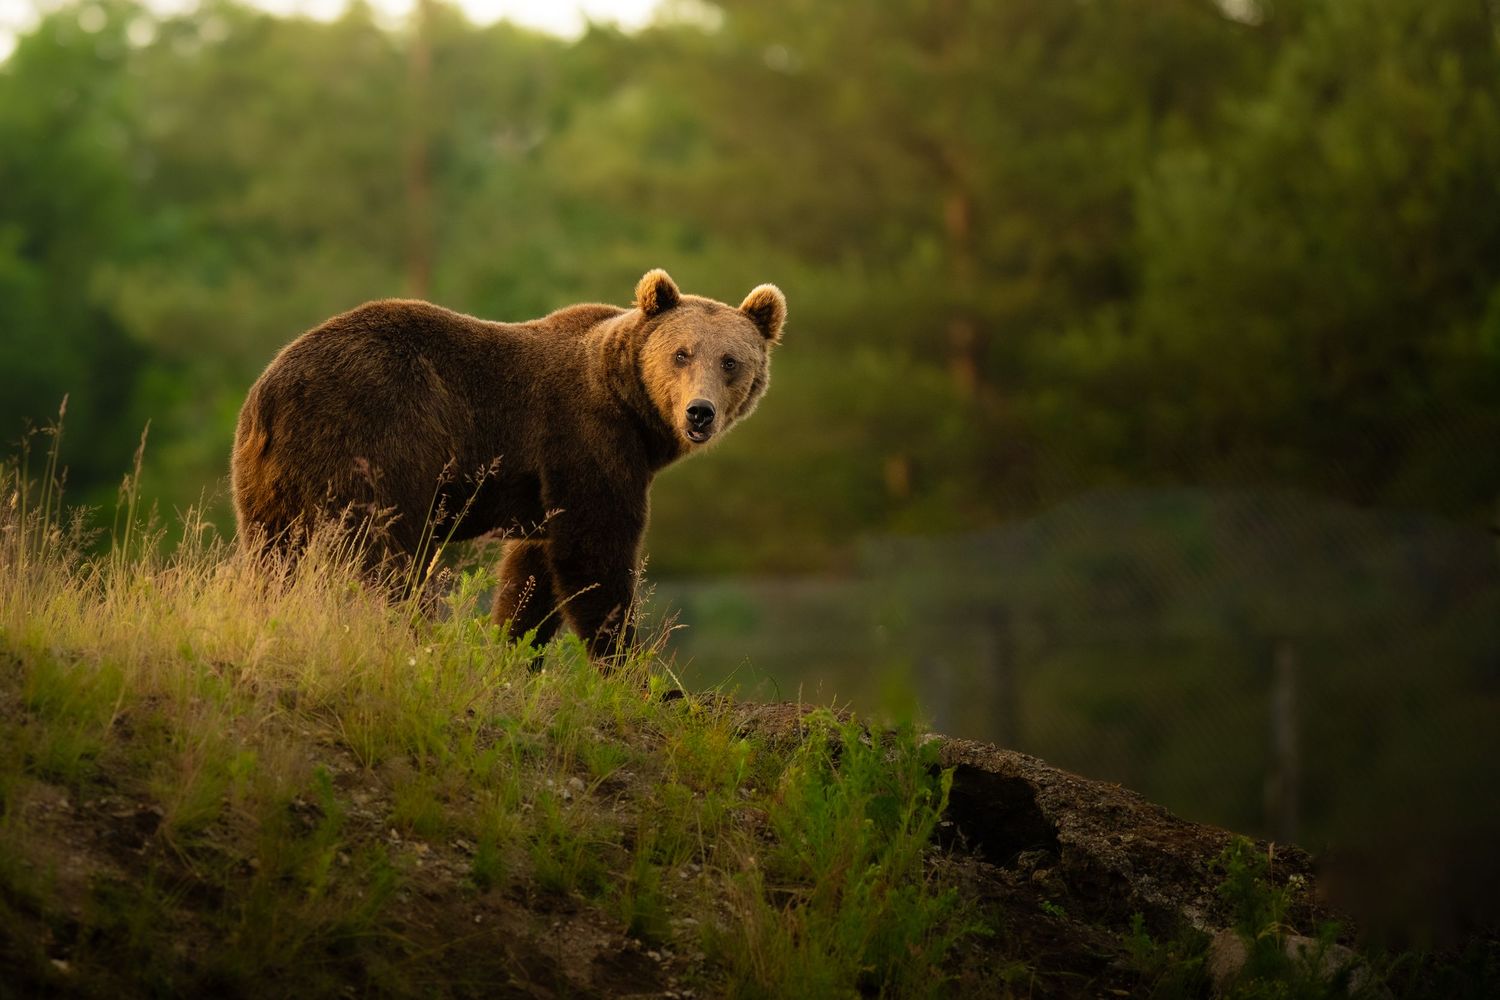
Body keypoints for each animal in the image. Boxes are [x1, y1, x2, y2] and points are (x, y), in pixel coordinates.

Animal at [231, 269, 785, 659]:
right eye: (681, 354)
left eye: (731, 361)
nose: (699, 412)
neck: (633, 411)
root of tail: (270, 390)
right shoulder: (584, 441)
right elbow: (594, 554)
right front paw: (630, 667)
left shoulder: (546, 488)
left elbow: (533, 575)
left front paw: (512, 647)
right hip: (379, 435)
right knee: (388, 556)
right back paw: (419, 636)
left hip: (270, 482)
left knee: (272, 557)